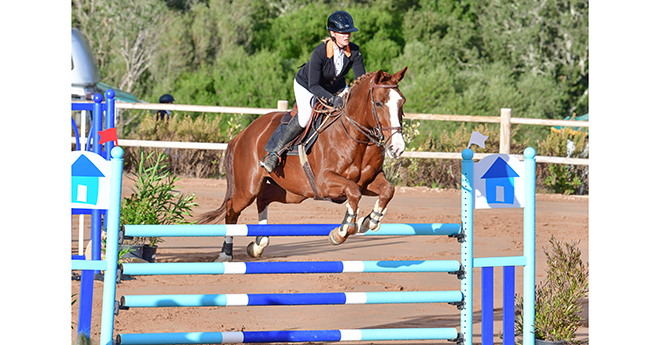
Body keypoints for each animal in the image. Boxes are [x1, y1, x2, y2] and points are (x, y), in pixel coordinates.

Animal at [200, 67, 408, 260]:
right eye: (378, 103)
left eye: (402, 102)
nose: (397, 148)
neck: (355, 136)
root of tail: (244, 132)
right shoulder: (325, 182)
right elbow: (353, 192)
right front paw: (341, 232)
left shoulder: (368, 181)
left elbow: (387, 190)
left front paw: (370, 221)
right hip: (248, 188)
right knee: (232, 210)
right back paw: (226, 253)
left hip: (294, 192)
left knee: (263, 198)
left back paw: (259, 244)